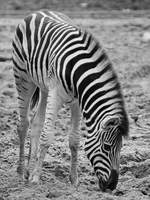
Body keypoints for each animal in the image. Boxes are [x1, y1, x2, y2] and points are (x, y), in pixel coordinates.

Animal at [12, 10, 129, 192]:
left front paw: (74, 180)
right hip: (23, 79)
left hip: (44, 87)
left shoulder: (76, 101)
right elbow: (47, 135)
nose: (111, 186)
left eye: (121, 147)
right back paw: (21, 170)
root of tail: (39, 11)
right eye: (107, 147)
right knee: (23, 124)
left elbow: (74, 140)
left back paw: (29, 170)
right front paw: (36, 179)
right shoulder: (56, 94)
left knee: (36, 123)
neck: (77, 71)